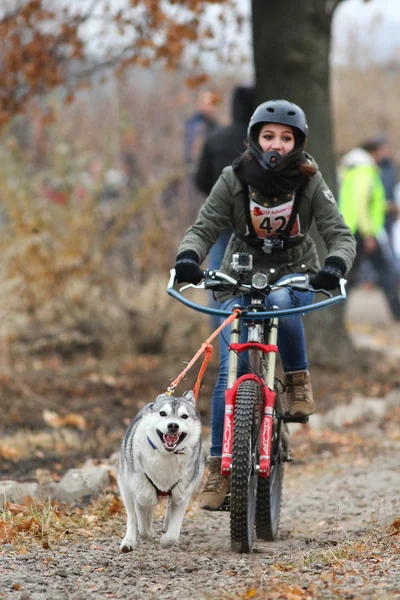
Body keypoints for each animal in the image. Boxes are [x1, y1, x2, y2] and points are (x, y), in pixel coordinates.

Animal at [116, 392, 203, 552]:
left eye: (184, 416)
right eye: (163, 413)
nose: (173, 425)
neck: (166, 455)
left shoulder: (183, 493)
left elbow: (173, 533)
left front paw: (165, 541)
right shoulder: (141, 490)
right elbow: (141, 521)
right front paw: (147, 531)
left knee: (168, 506)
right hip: (125, 486)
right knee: (132, 515)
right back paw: (129, 541)